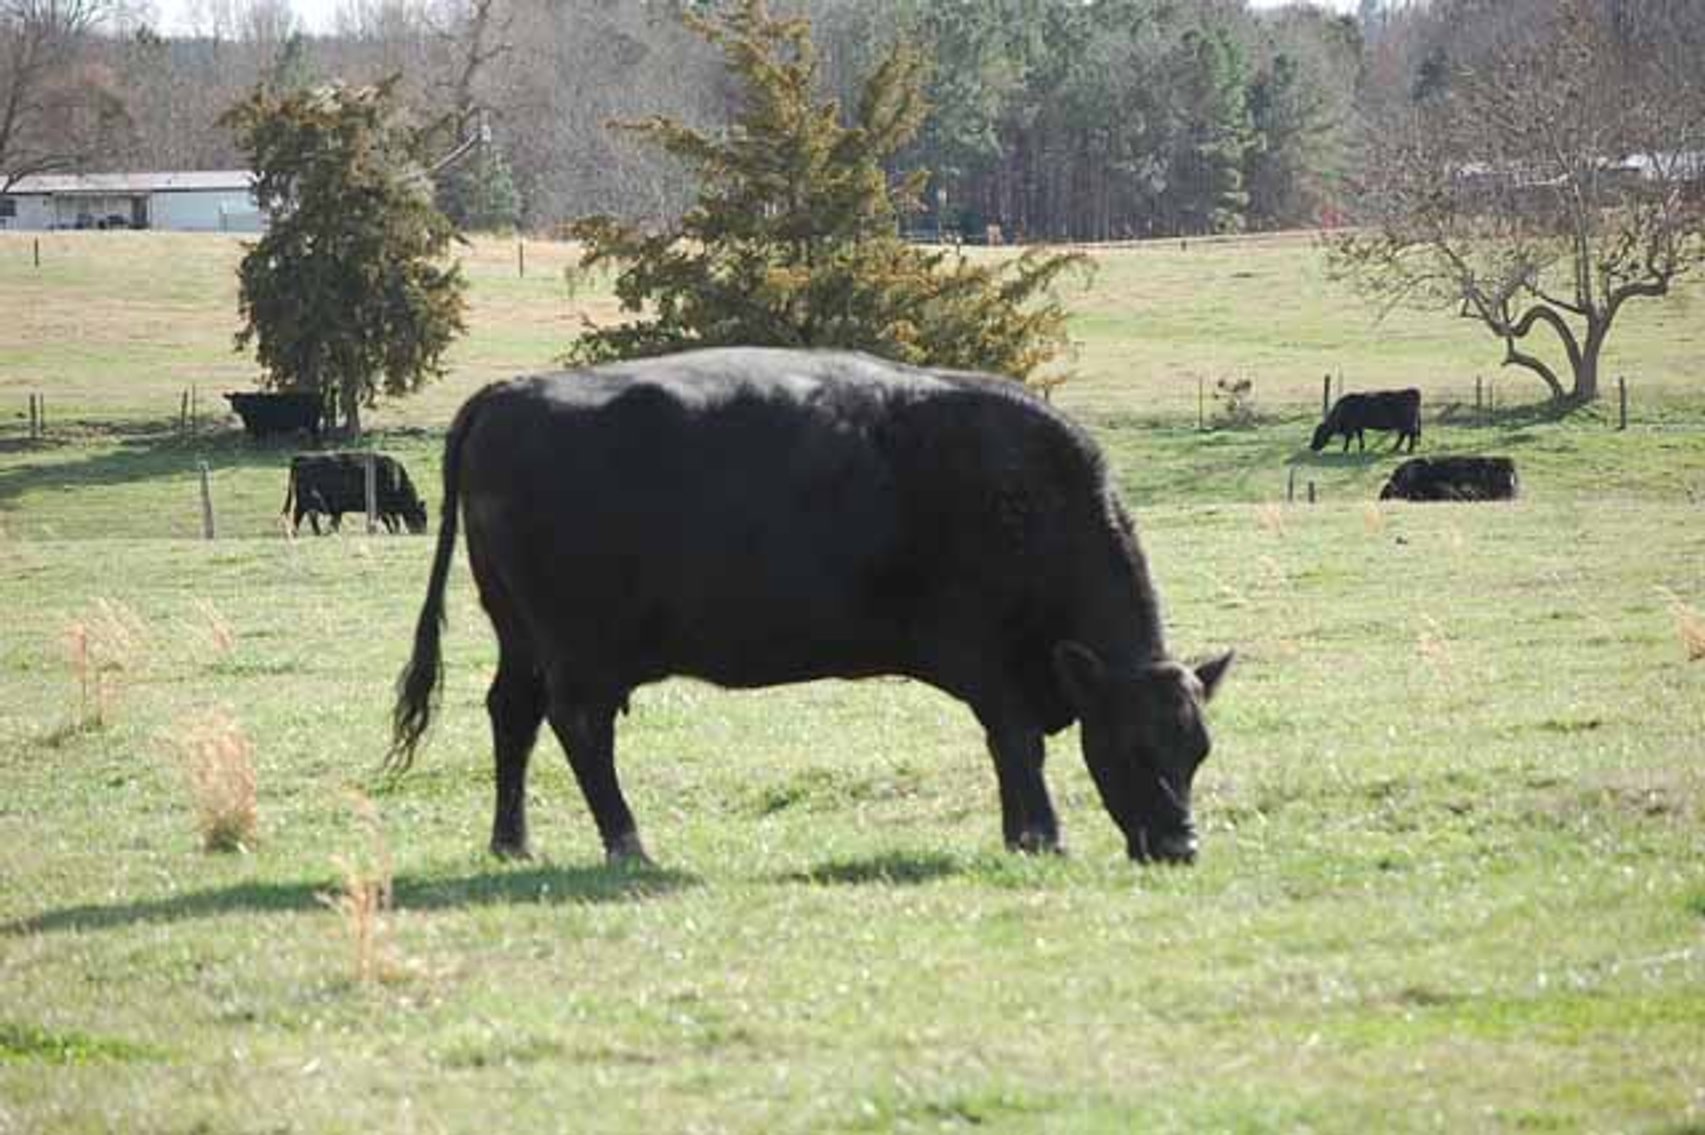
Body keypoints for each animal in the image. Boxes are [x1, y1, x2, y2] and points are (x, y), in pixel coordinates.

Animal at [282, 453, 428, 534]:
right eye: (421, 514)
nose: (422, 531)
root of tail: (300, 459)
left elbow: (392, 519)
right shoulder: (380, 507)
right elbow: (389, 520)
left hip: (310, 504)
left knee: (312, 517)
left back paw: (318, 532)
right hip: (303, 503)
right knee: (298, 515)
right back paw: (297, 532)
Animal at [390, 348, 1233, 867]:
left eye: (1197, 750)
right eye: (1133, 747)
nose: (1180, 848)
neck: (1028, 497)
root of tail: (513, 390)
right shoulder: (988, 661)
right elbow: (1016, 744)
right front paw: (1040, 835)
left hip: (520, 636)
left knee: (513, 715)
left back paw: (513, 841)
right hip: (582, 651)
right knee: (579, 728)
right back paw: (627, 841)